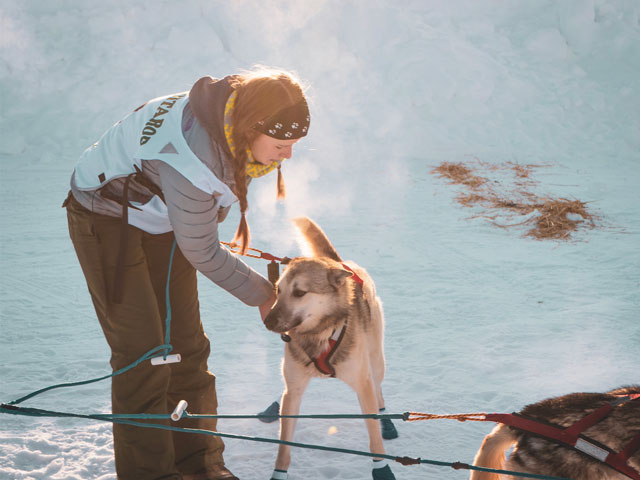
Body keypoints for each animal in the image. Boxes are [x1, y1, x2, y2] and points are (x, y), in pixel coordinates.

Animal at [264, 218, 396, 480]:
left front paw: (382, 468)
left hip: (376, 361)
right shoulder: (293, 392)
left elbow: (374, 437)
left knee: (378, 389)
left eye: (299, 292)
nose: (268, 321)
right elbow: (284, 445)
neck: (320, 335)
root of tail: (339, 263)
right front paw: (279, 473)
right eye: (278, 290)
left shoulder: (363, 385)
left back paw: (386, 418)